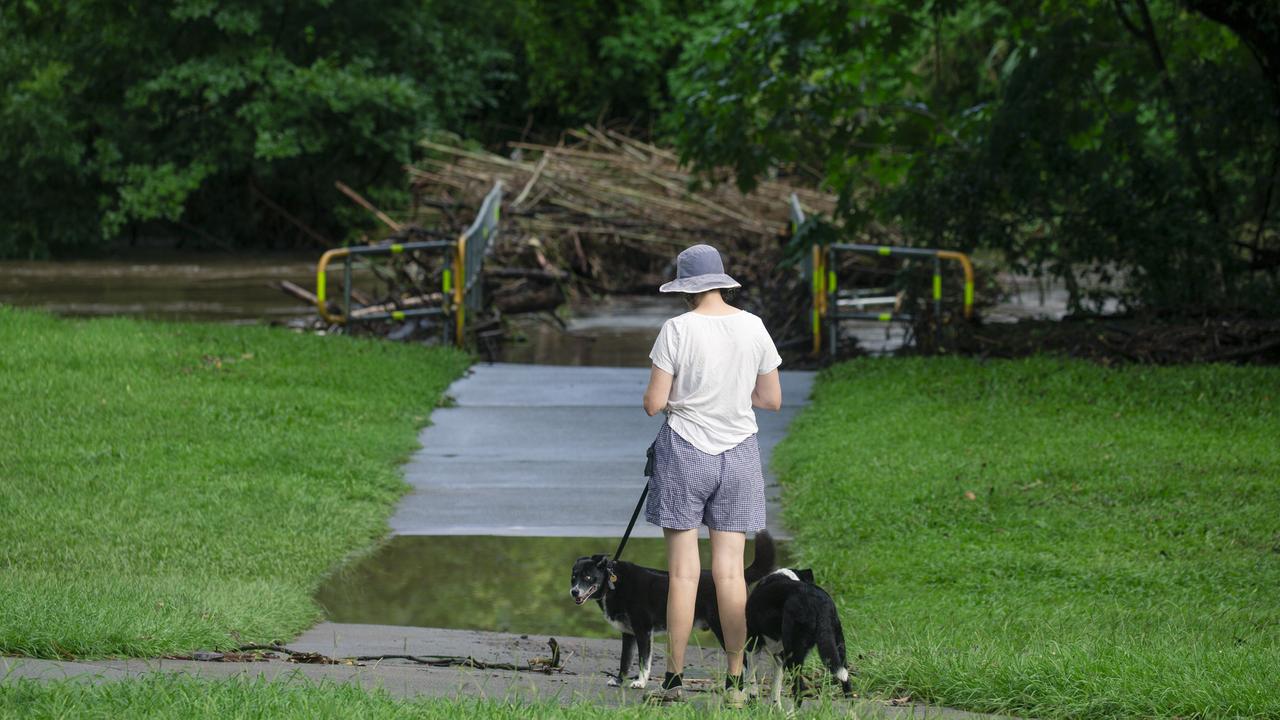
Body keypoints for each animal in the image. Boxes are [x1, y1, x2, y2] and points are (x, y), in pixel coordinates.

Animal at [573, 530, 778, 686]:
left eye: (588, 577)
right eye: (573, 576)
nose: (574, 592)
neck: (613, 582)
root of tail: (738, 577)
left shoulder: (643, 632)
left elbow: (643, 662)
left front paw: (640, 683)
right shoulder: (628, 634)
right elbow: (625, 660)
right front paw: (618, 680)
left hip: (723, 627)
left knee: (744, 658)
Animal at [747, 563, 855, 702]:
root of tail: (818, 601)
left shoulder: (752, 644)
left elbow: (751, 677)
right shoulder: (779, 656)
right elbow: (775, 689)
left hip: (794, 655)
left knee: (798, 688)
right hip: (839, 648)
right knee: (846, 682)